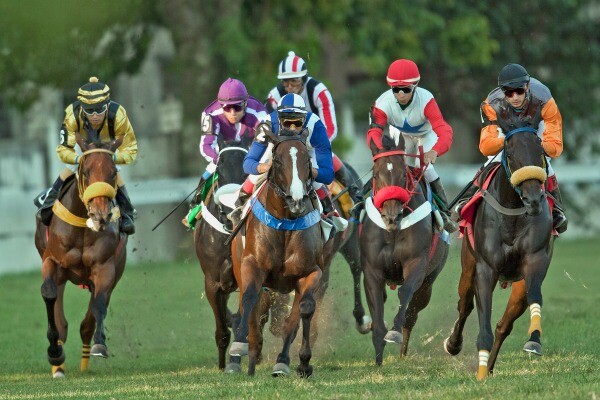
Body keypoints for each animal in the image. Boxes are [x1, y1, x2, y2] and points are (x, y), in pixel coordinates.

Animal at [34, 135, 126, 378]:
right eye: (85, 172)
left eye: (113, 172)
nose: (101, 216)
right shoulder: (51, 262)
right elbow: (49, 295)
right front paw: (54, 353)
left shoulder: (105, 268)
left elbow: (99, 305)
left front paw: (100, 344)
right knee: (61, 317)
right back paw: (58, 366)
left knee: (88, 321)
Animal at [229, 130, 326, 376]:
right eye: (279, 160)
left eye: (307, 160)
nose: (297, 200)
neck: (285, 224)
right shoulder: (251, 266)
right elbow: (250, 298)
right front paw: (241, 346)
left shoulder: (310, 272)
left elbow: (304, 310)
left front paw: (301, 362)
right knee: (251, 308)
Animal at [358, 135, 448, 366]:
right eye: (376, 174)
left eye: (402, 174)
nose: (392, 216)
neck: (393, 232)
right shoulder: (372, 271)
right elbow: (376, 306)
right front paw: (378, 357)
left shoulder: (417, 264)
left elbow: (405, 292)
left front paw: (394, 333)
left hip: (428, 284)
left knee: (412, 313)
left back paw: (403, 352)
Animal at [442, 128, 556, 382]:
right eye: (510, 155)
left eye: (541, 153)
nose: (533, 200)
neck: (513, 211)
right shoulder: (485, 269)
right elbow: (479, 313)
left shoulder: (535, 262)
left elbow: (535, 297)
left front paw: (534, 341)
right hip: (468, 269)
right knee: (464, 305)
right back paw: (454, 344)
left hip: (518, 286)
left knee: (504, 325)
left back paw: (491, 365)